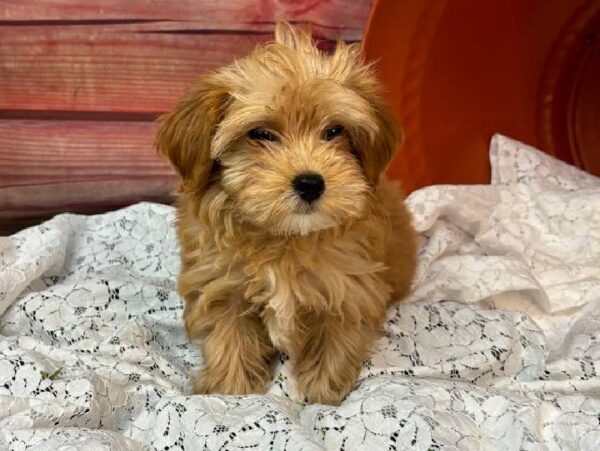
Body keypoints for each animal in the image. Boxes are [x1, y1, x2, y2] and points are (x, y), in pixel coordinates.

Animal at [156, 22, 418, 406]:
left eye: (334, 131)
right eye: (261, 134)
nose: (310, 182)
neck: (284, 238)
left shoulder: (349, 287)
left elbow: (335, 339)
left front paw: (323, 393)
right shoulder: (221, 284)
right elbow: (229, 337)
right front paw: (231, 390)